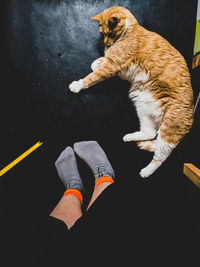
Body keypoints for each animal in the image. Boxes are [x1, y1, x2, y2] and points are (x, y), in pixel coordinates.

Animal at [69, 5, 194, 178]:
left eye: (109, 33)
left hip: (169, 129)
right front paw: (96, 62)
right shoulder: (114, 65)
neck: (130, 30)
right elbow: (96, 63)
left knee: (161, 155)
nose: (106, 43)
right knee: (150, 133)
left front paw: (77, 85)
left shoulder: (112, 66)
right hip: (142, 106)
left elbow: (91, 77)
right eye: (102, 34)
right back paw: (130, 138)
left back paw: (146, 171)